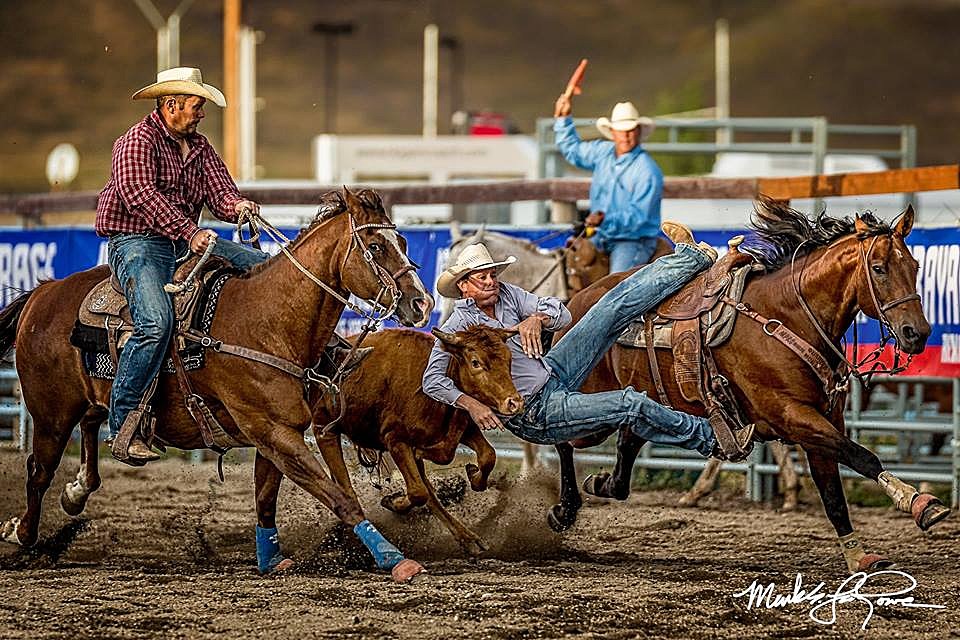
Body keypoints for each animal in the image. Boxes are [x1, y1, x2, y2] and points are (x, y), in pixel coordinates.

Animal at [0, 186, 436, 580]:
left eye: (402, 241)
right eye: (375, 247)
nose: (422, 303)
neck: (266, 321)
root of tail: (42, 293)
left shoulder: (279, 433)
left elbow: (265, 497)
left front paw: (270, 559)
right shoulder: (275, 432)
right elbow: (341, 498)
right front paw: (394, 559)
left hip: (87, 400)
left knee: (90, 429)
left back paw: (78, 490)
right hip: (51, 414)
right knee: (39, 471)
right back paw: (22, 534)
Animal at [308, 324, 520, 556]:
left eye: (509, 358)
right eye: (475, 362)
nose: (515, 403)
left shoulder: (463, 428)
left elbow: (488, 456)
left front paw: (474, 475)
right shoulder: (396, 441)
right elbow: (418, 492)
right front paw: (393, 501)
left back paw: (468, 538)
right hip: (324, 428)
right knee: (347, 487)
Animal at [544, 199, 948, 568]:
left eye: (914, 267)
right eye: (878, 269)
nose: (917, 333)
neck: (788, 315)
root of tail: (575, 302)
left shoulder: (824, 422)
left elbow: (833, 493)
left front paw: (858, 556)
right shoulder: (792, 416)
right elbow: (862, 456)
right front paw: (920, 503)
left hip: (641, 403)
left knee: (625, 448)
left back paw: (600, 486)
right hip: (587, 412)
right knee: (561, 437)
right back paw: (564, 509)